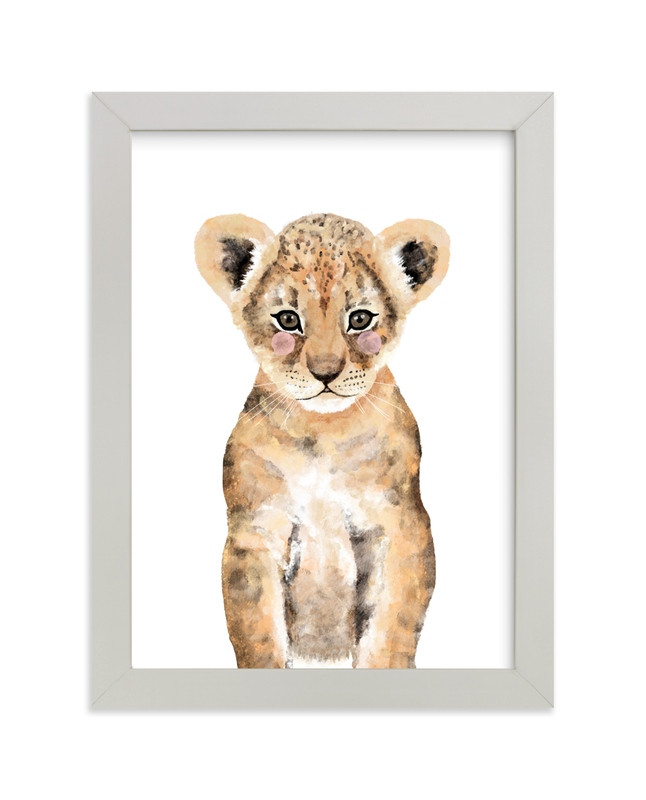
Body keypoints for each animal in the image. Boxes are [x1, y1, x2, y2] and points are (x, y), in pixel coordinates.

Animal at [195, 213, 449, 668]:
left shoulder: (401, 523)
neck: (323, 432)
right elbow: (258, 632)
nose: (326, 372)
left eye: (360, 319)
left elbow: (391, 628)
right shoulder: (255, 531)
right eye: (288, 320)